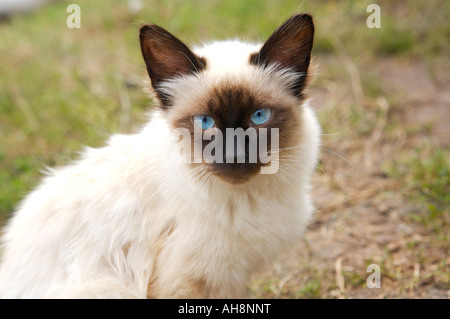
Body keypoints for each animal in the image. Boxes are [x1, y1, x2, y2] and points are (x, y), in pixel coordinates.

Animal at [0, 13, 320, 300]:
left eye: (259, 116)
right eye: (205, 122)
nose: (234, 155)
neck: (248, 200)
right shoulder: (193, 281)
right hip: (109, 289)